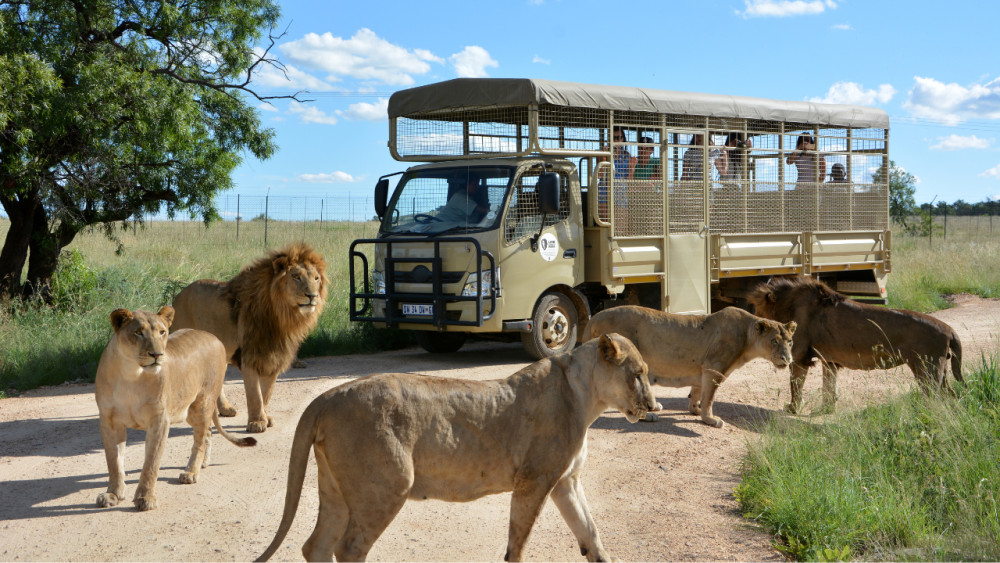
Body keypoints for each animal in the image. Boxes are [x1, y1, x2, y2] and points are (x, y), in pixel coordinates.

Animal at [94, 307, 256, 511]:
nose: (157, 354)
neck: (130, 374)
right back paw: (203, 463)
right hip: (190, 410)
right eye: (138, 332)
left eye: (162, 332)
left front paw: (145, 498)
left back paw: (191, 472)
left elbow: (151, 463)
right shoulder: (109, 421)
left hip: (201, 404)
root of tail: (213, 337)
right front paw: (113, 495)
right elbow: (114, 461)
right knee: (207, 433)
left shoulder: (159, 421)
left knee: (200, 439)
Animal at [171, 243, 327, 433]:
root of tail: (177, 296)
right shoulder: (249, 356)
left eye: (316, 279)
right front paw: (257, 422)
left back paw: (225, 409)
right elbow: (255, 394)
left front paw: (265, 418)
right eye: (296, 276)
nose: (312, 296)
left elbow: (266, 393)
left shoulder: (274, 357)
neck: (282, 316)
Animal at [255, 333, 658, 563]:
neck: (586, 396)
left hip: (335, 489)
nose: (654, 406)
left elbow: (590, 532)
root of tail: (326, 397)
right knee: (348, 548)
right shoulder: (535, 480)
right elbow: (518, 543)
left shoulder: (565, 482)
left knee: (317, 546)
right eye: (638, 374)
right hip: (386, 487)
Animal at [586, 305, 796, 428]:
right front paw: (710, 419)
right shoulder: (714, 367)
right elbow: (709, 398)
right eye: (774, 341)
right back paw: (649, 416)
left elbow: (697, 391)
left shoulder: (702, 369)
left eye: (790, 342)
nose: (787, 359)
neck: (747, 337)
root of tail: (593, 317)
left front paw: (695, 410)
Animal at [749, 276, 963, 414]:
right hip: (940, 371)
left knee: (936, 399)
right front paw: (826, 409)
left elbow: (796, 386)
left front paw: (793, 409)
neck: (787, 304)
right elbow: (829, 387)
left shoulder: (799, 357)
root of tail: (950, 330)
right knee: (951, 396)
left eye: (758, 310)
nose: (753, 327)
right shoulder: (829, 360)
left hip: (927, 371)